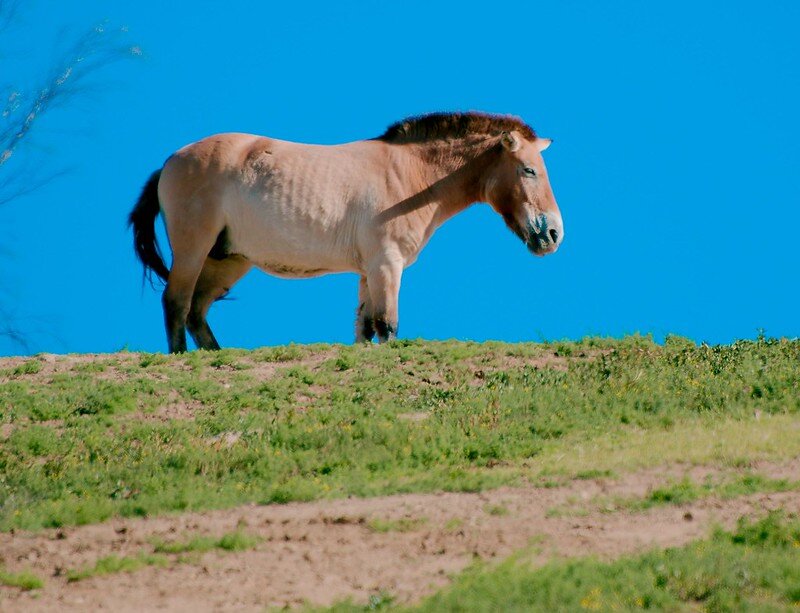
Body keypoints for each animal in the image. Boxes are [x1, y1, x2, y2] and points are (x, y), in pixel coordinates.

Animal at [130, 109, 564, 350]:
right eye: (529, 170)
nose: (553, 235)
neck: (410, 175)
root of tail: (169, 162)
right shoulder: (387, 264)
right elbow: (387, 326)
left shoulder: (369, 271)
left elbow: (366, 329)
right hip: (193, 249)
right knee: (176, 303)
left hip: (227, 260)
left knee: (196, 312)